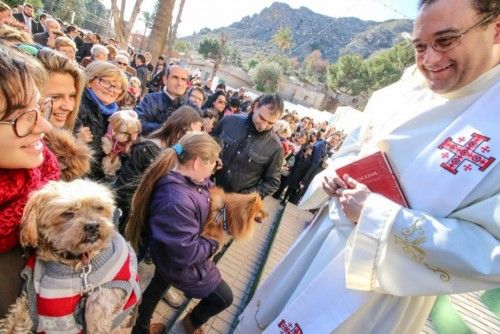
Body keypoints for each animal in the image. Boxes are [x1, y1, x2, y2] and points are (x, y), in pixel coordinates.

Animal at [0, 180, 141, 334]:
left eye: (98, 208)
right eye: (67, 213)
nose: (92, 225)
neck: (78, 261)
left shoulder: (116, 282)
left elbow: (100, 297)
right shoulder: (32, 291)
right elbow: (21, 311)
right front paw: (11, 327)